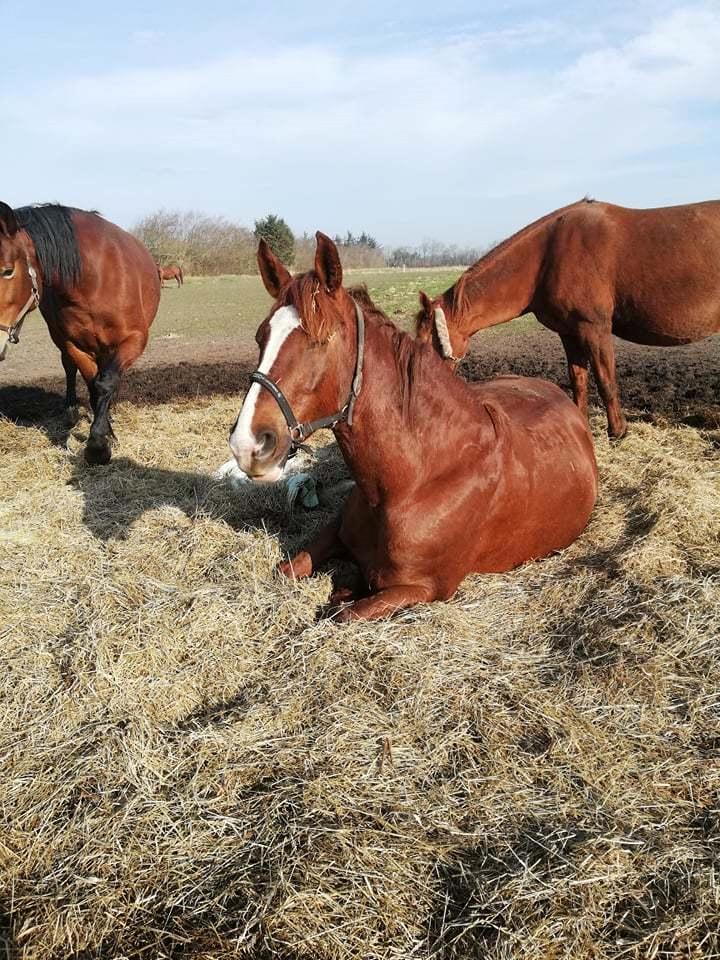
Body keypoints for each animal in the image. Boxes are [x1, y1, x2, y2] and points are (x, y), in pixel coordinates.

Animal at [0, 201, 160, 464]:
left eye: (8, 271)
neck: (94, 280)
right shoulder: (72, 344)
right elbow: (93, 384)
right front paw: (102, 438)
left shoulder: (133, 340)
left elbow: (106, 383)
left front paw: (99, 445)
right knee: (70, 369)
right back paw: (71, 411)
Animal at [229, 233, 596, 624]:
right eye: (261, 337)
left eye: (321, 340)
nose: (247, 444)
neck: (417, 479)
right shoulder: (336, 532)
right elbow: (287, 569)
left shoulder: (423, 589)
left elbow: (343, 614)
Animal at [414, 199, 720, 438]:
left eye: (430, 341)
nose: (424, 394)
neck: (549, 255)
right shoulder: (570, 332)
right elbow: (579, 381)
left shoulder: (594, 329)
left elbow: (606, 381)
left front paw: (618, 432)